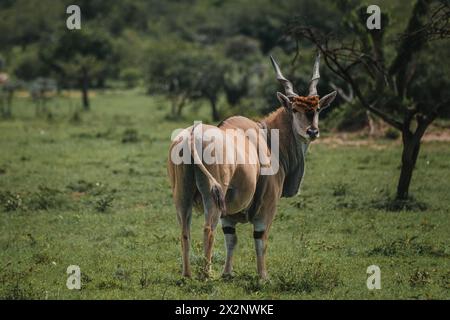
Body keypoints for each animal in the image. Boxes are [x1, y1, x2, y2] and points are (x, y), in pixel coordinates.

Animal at [167, 52, 336, 278]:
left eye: (317, 108)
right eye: (294, 109)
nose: (312, 131)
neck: (269, 139)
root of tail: (193, 135)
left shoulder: (228, 216)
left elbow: (231, 240)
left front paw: (227, 274)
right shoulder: (267, 207)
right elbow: (260, 241)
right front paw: (263, 276)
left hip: (182, 196)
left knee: (184, 232)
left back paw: (187, 275)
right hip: (212, 197)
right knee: (208, 229)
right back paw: (206, 275)